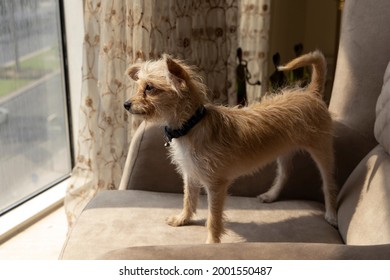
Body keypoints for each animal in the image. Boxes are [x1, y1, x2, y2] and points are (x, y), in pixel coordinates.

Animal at [125, 51, 338, 244]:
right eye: (139, 86)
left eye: (149, 88)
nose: (126, 104)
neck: (191, 125)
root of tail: (311, 93)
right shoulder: (191, 173)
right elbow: (189, 199)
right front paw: (183, 219)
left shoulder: (216, 185)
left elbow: (213, 218)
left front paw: (212, 243)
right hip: (284, 150)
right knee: (285, 173)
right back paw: (271, 195)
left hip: (322, 150)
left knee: (328, 183)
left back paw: (331, 214)